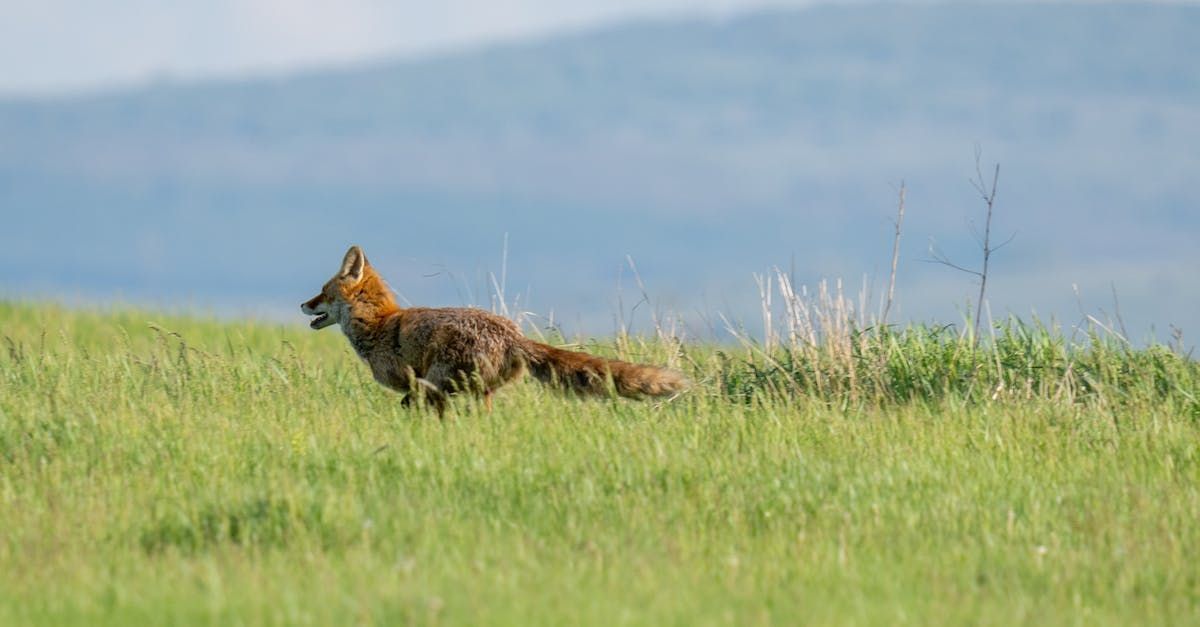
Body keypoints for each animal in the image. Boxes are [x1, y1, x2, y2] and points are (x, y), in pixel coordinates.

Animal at [304, 243, 691, 415]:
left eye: (322, 292)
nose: (303, 305)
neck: (379, 327)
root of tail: (514, 336)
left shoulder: (420, 386)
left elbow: (411, 406)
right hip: (480, 390)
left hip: (448, 380)